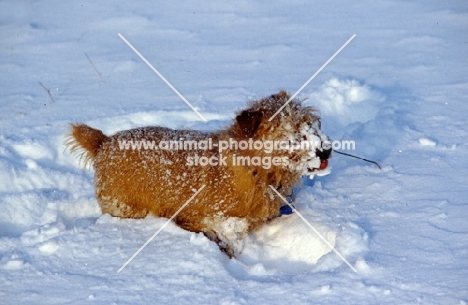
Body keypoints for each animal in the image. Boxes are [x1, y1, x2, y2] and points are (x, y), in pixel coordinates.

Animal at [66, 91, 330, 256]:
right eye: (292, 135)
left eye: (312, 124)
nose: (326, 149)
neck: (253, 170)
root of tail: (104, 142)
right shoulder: (213, 220)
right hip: (126, 208)